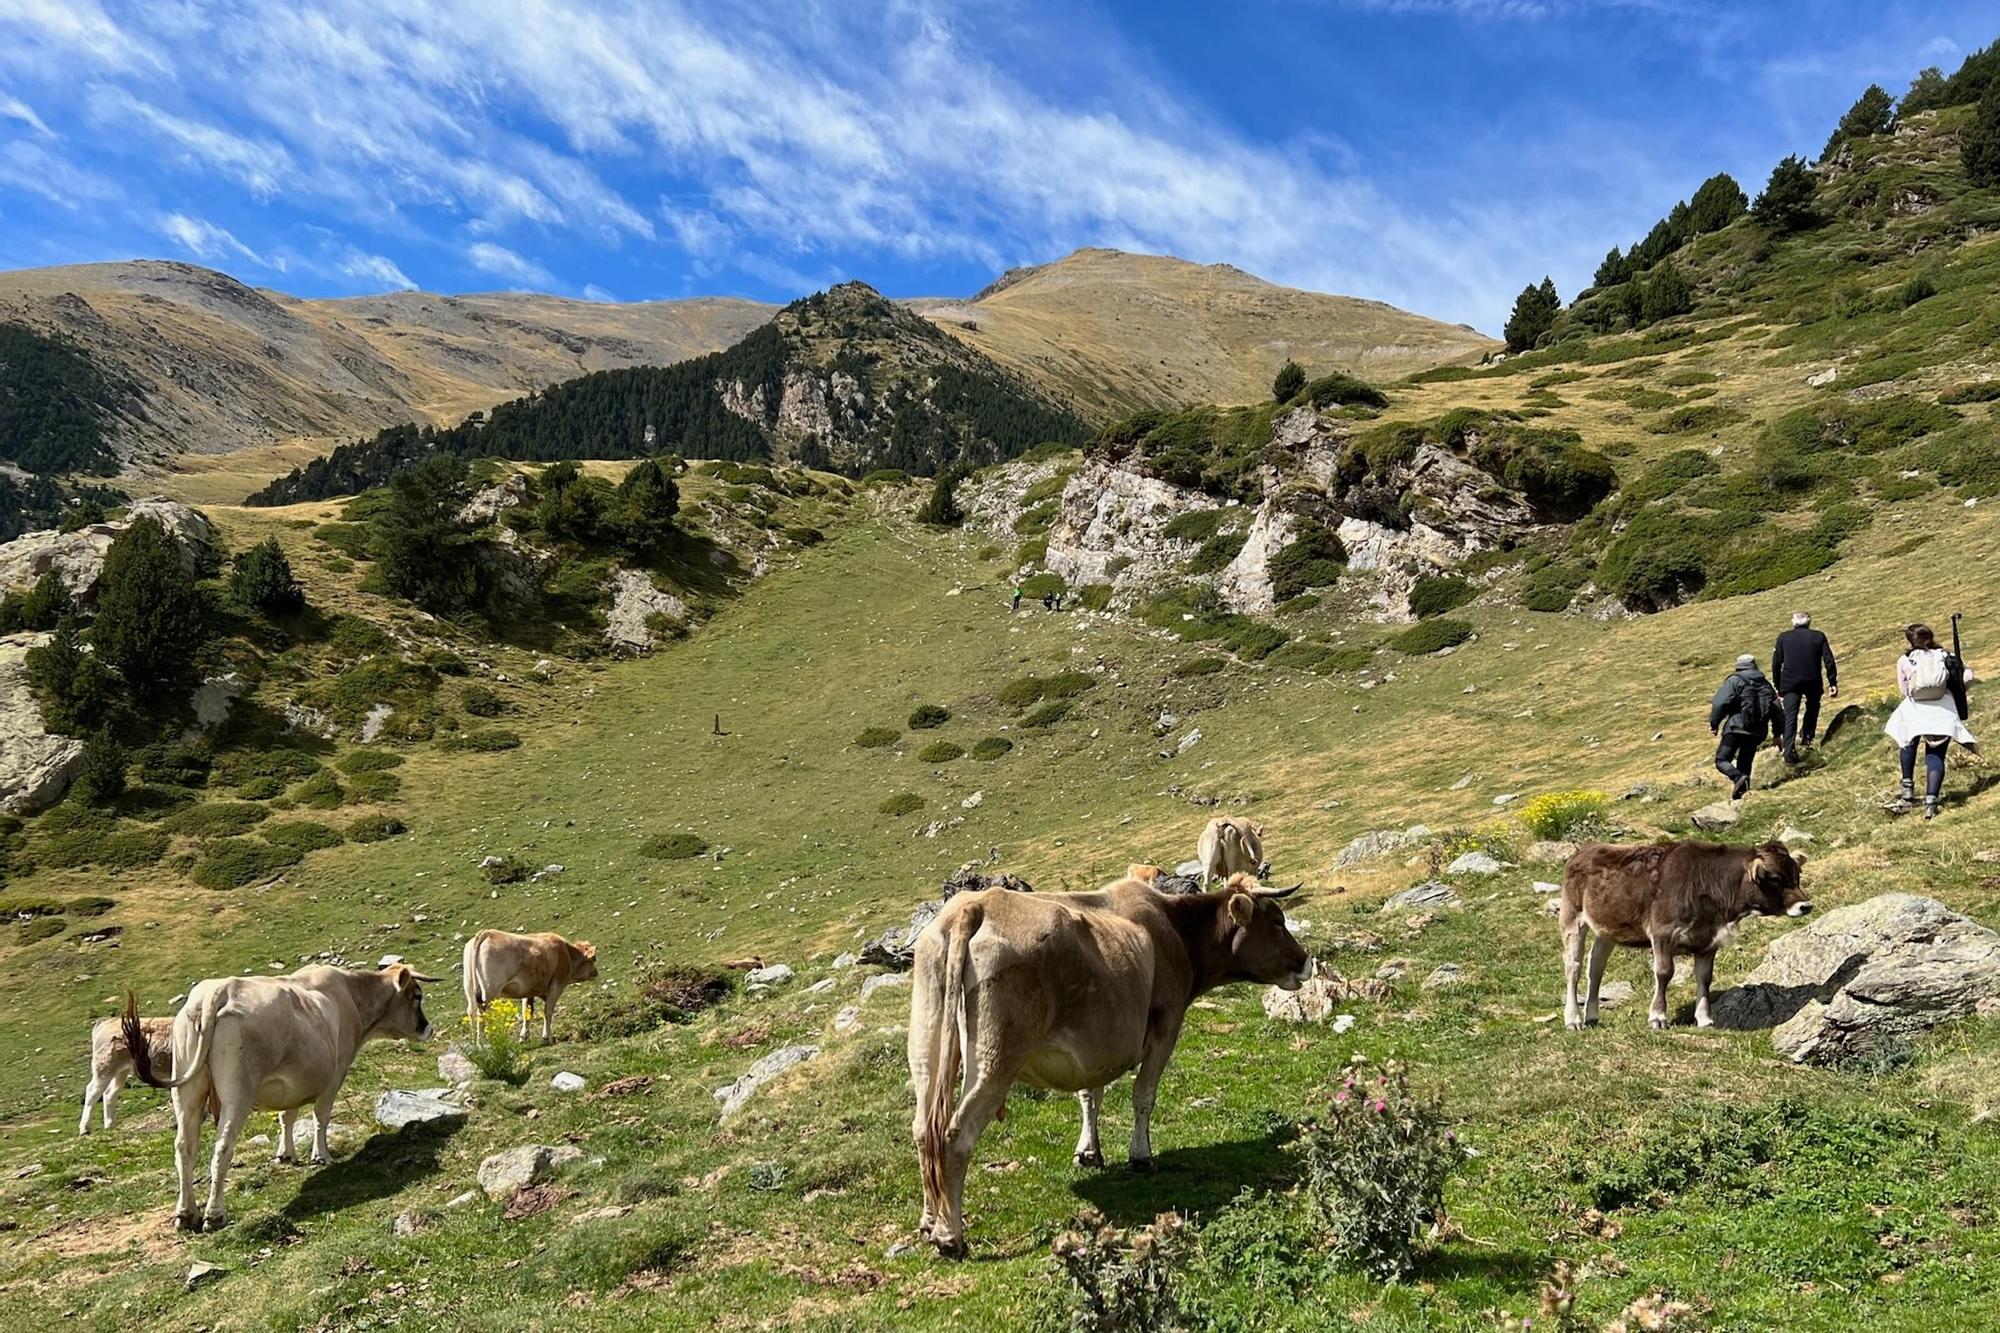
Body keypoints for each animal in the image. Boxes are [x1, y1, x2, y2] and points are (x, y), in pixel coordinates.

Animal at [128, 960, 438, 1232]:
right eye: (417, 996)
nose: (428, 1028)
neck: (350, 998)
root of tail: (219, 990)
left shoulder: (294, 1083)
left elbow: (287, 1116)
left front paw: (286, 1154)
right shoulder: (334, 1076)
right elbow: (321, 1117)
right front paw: (321, 1156)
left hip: (187, 1091)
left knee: (184, 1148)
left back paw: (185, 1213)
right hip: (237, 1094)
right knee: (222, 1148)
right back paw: (214, 1215)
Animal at [464, 924, 596, 1040]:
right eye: (594, 959)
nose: (596, 972)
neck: (567, 953)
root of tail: (487, 933)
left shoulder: (528, 991)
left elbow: (527, 1012)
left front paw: (524, 1037)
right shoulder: (556, 987)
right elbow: (548, 1012)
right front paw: (547, 1037)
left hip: (469, 986)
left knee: (471, 1012)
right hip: (490, 990)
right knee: (482, 1013)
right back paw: (482, 1044)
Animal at [908, 868, 1312, 1248]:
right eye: (1277, 920)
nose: (1307, 962)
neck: (1176, 930)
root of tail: (976, 905)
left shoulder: (1097, 1041)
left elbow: (1090, 1093)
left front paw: (1088, 1152)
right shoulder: (1166, 1025)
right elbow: (1144, 1095)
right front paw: (1141, 1156)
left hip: (927, 1047)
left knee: (924, 1129)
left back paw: (929, 1220)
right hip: (996, 1057)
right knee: (954, 1133)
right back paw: (949, 1234)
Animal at [1560, 840, 1816, 1024]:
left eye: (1797, 875)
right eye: (1774, 877)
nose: (1805, 905)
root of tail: (1585, 850)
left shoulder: (1707, 940)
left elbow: (1705, 977)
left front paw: (1704, 1018)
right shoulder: (1662, 933)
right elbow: (1664, 973)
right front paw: (1658, 1016)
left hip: (1605, 930)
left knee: (1595, 967)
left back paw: (1592, 1016)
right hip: (1572, 919)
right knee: (1573, 968)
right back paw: (1573, 1019)